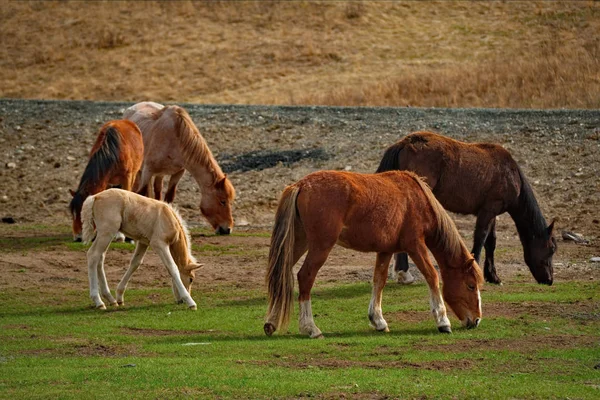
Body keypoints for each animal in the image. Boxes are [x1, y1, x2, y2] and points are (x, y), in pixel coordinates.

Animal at [123, 101, 236, 236]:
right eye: (222, 201)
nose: (227, 229)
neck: (174, 139)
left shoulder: (177, 173)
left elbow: (168, 198)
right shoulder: (148, 171)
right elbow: (141, 194)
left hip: (160, 174)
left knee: (157, 193)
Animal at [264, 169, 486, 338]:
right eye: (470, 285)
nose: (476, 320)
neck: (417, 199)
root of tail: (301, 185)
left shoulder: (386, 250)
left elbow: (379, 281)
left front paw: (378, 320)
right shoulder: (415, 246)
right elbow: (432, 276)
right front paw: (442, 321)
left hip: (299, 243)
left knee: (281, 274)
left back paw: (271, 322)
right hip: (320, 246)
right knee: (305, 277)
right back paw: (310, 328)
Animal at [378, 130, 556, 284]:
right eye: (552, 249)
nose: (549, 280)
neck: (510, 173)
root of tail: (407, 142)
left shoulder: (492, 213)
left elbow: (491, 242)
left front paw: (493, 276)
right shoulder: (488, 211)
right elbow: (480, 238)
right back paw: (405, 273)